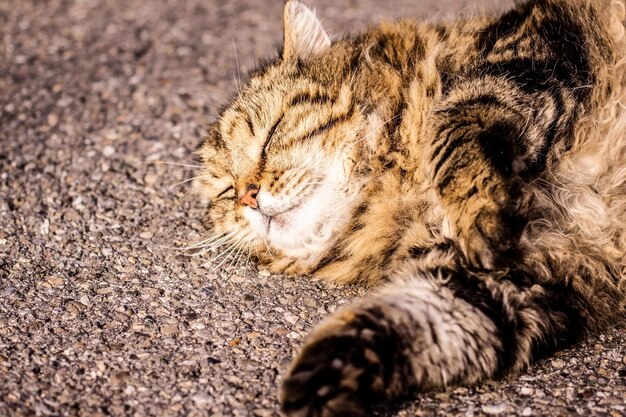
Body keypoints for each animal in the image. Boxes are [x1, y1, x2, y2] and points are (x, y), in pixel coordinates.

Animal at [197, 0, 624, 416]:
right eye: (226, 191)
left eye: (271, 134)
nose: (249, 197)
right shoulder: (505, 284)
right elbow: (403, 322)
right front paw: (318, 378)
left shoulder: (535, 49)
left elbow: (455, 127)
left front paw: (482, 213)